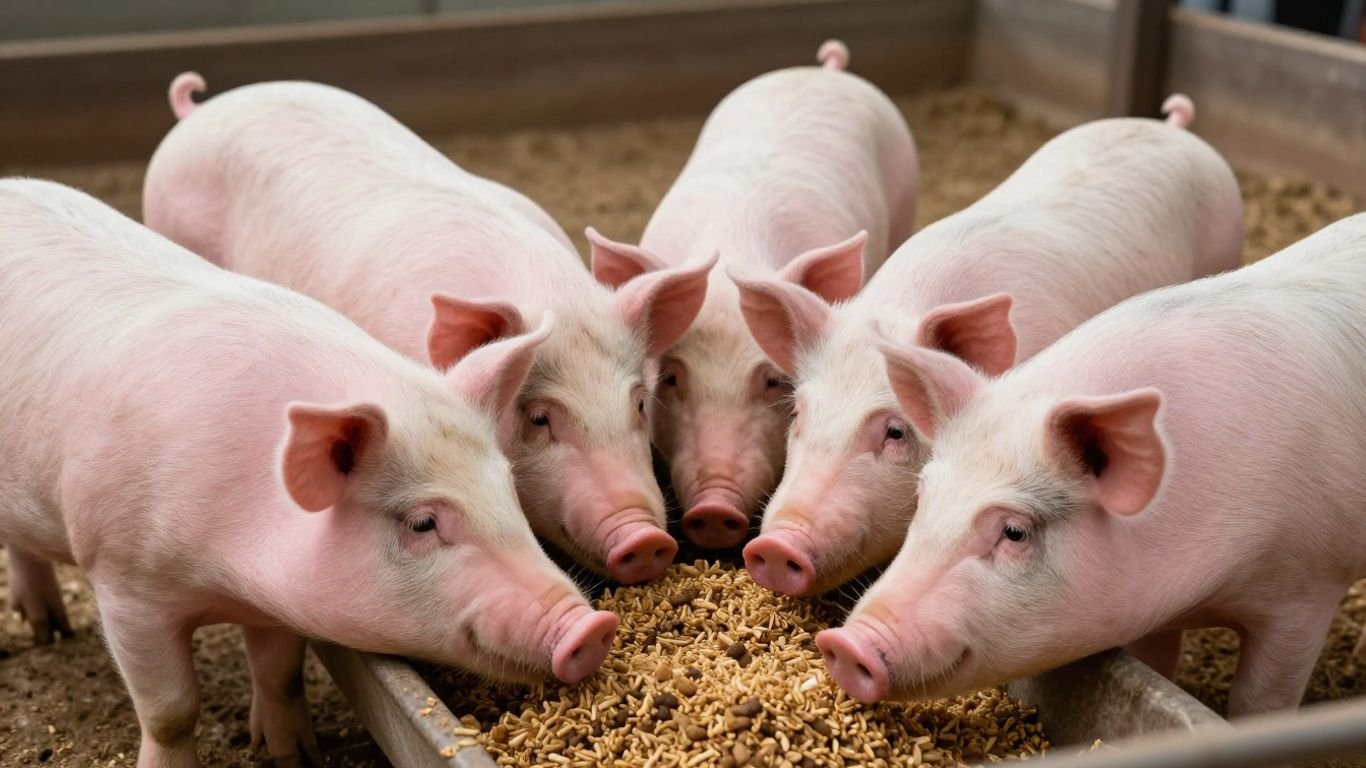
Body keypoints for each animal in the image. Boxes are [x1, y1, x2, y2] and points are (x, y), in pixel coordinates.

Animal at [0, 179, 618, 767]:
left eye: (507, 490)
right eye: (422, 523)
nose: (592, 628)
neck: (221, 572)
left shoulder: (275, 600)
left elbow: (278, 670)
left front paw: (293, 756)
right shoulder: (122, 581)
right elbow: (171, 710)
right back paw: (45, 632)